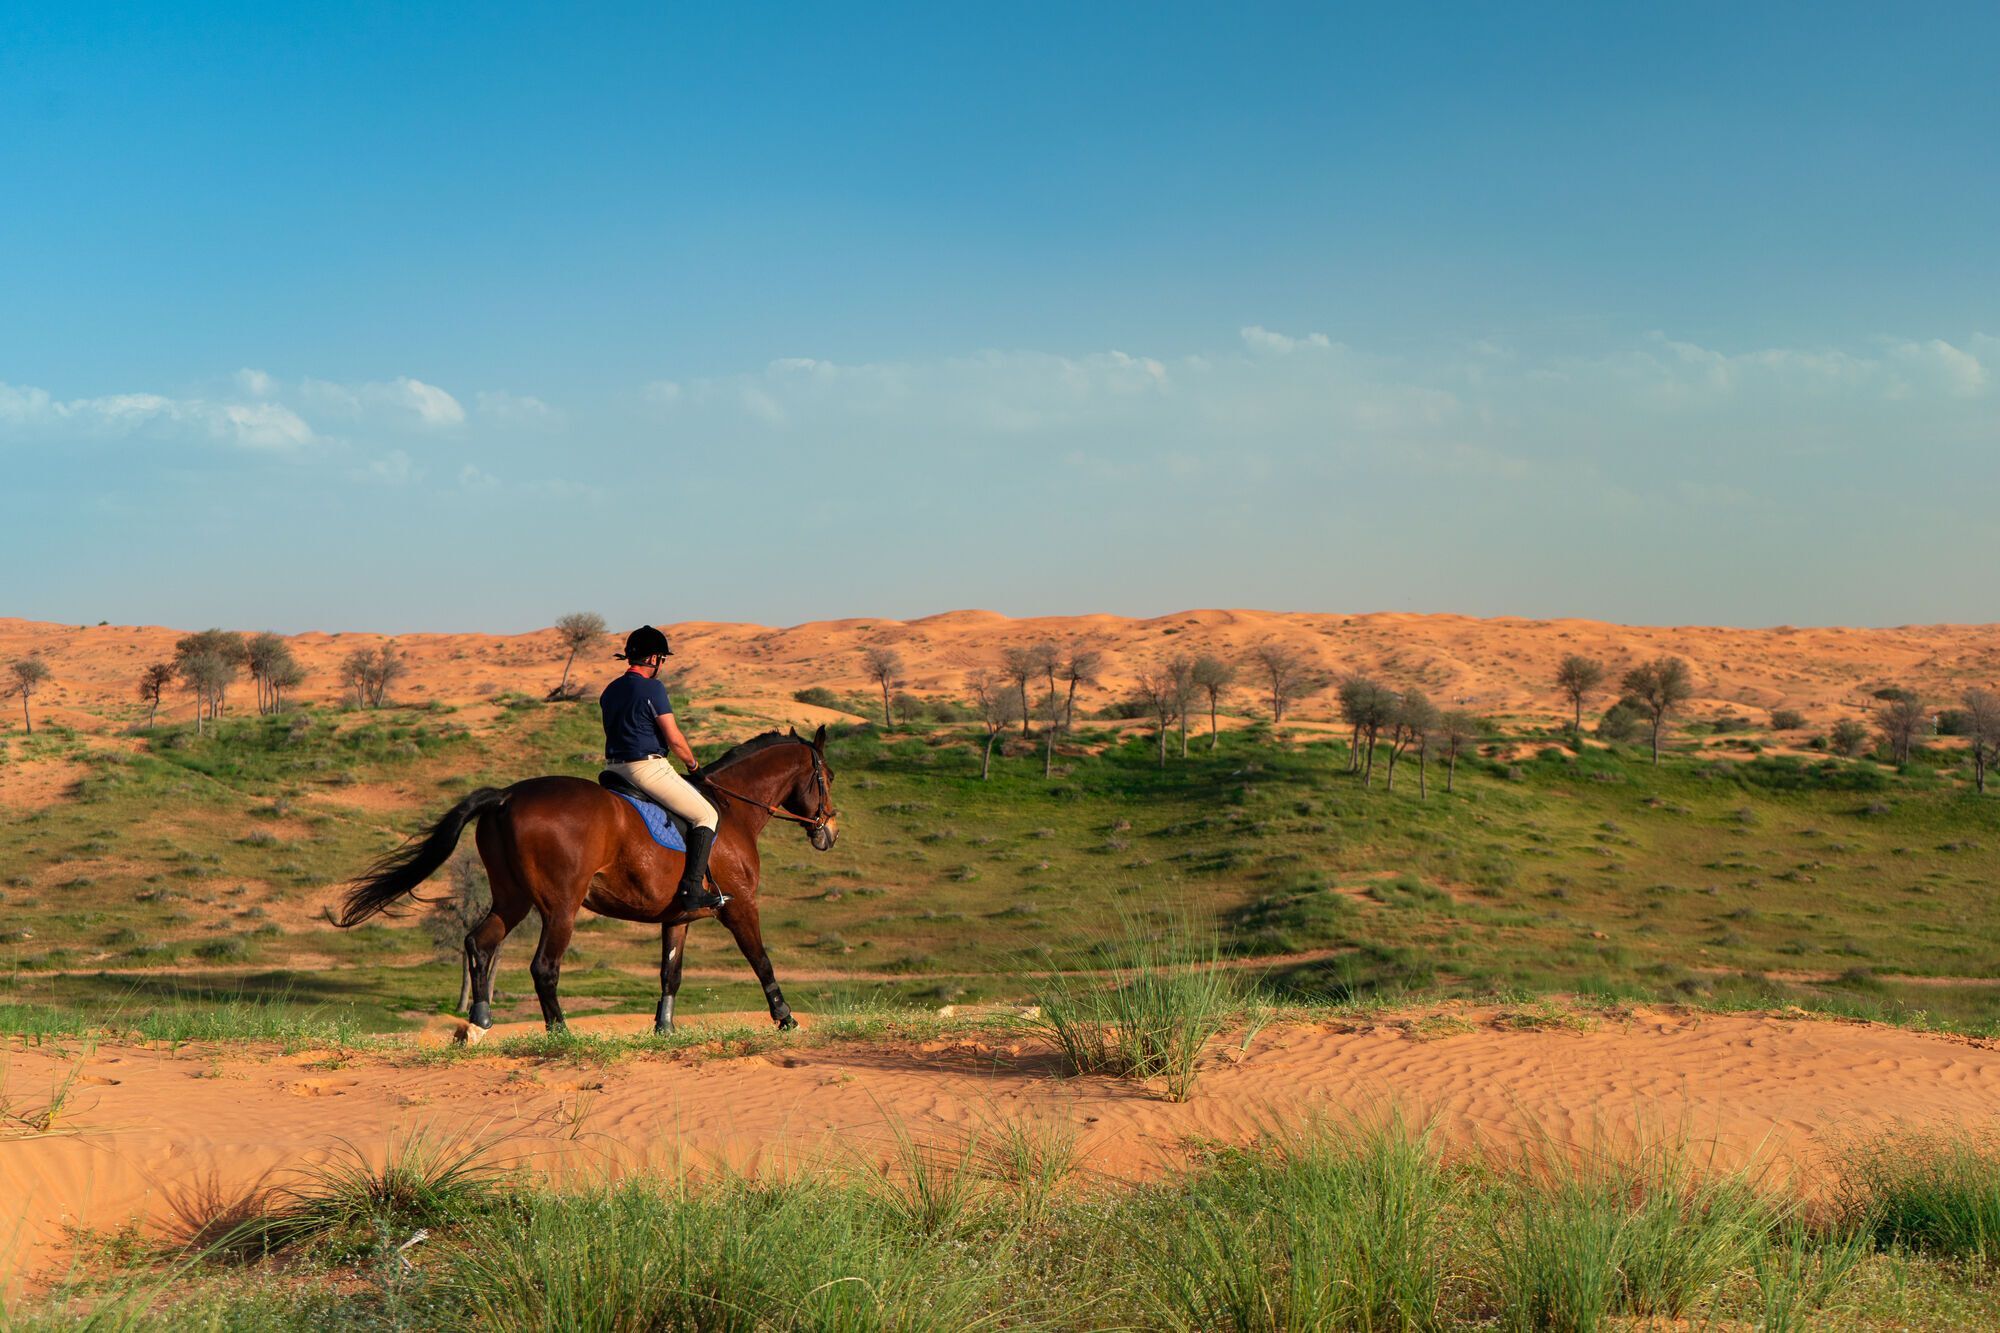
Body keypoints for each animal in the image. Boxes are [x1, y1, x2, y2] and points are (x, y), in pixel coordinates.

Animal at [332, 728, 832, 1024]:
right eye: (826, 775)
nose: (829, 832)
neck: (732, 809)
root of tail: (506, 796)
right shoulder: (741, 905)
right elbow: (761, 959)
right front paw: (785, 1016)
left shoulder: (677, 918)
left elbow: (671, 974)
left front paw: (664, 1028)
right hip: (561, 906)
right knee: (543, 967)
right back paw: (560, 1030)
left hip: (512, 898)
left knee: (480, 942)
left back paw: (480, 1020)